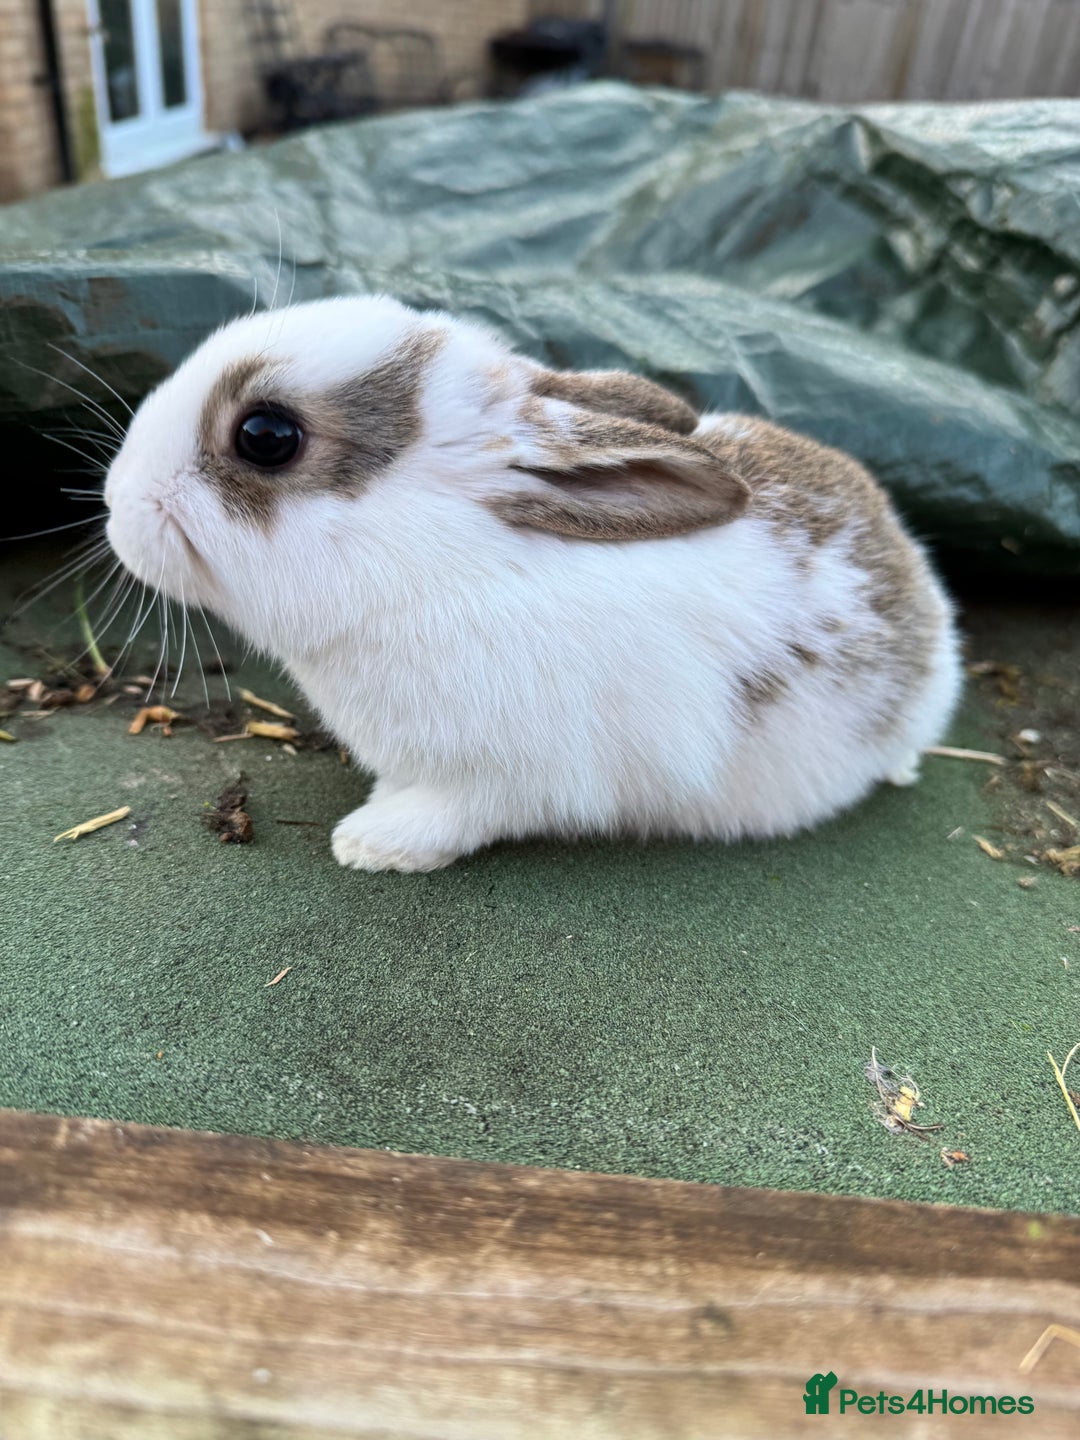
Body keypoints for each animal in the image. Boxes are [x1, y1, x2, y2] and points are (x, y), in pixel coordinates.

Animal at [104, 294, 962, 872]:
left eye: (267, 436)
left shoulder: (505, 777)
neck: (432, 557)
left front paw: (370, 843)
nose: (116, 501)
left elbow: (452, 817)